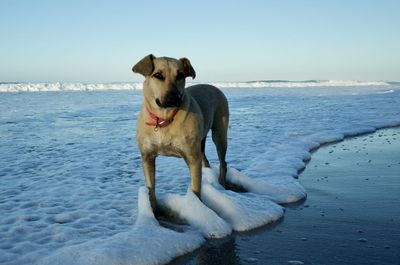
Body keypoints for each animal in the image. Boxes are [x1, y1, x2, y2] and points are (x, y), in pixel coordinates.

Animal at [133, 54, 230, 211]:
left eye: (180, 75)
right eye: (157, 75)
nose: (173, 98)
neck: (164, 118)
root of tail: (213, 86)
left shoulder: (192, 157)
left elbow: (196, 189)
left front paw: (197, 207)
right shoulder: (147, 157)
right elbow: (150, 188)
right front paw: (152, 209)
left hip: (219, 134)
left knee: (223, 161)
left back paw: (222, 183)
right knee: (205, 159)